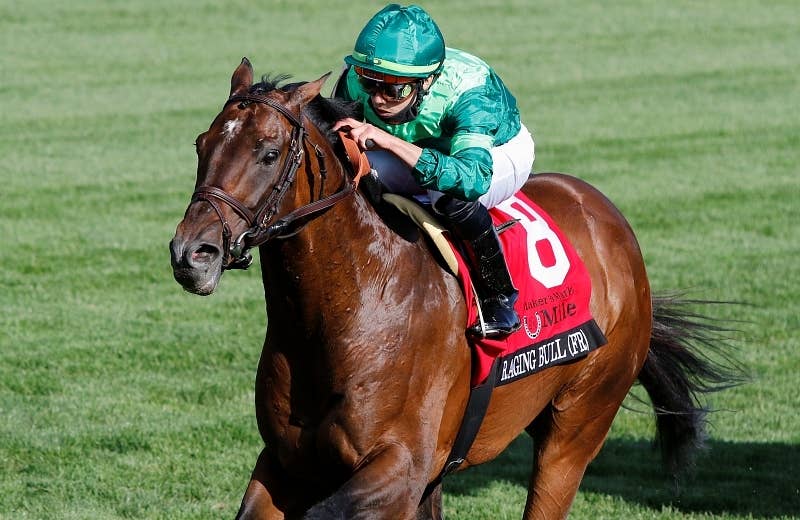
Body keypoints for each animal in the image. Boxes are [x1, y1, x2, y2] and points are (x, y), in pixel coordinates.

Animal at [169, 58, 742, 519]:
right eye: (201, 144)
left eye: (267, 153)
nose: (192, 254)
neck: (345, 311)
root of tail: (611, 222)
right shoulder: (288, 462)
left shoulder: (400, 467)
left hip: (579, 424)